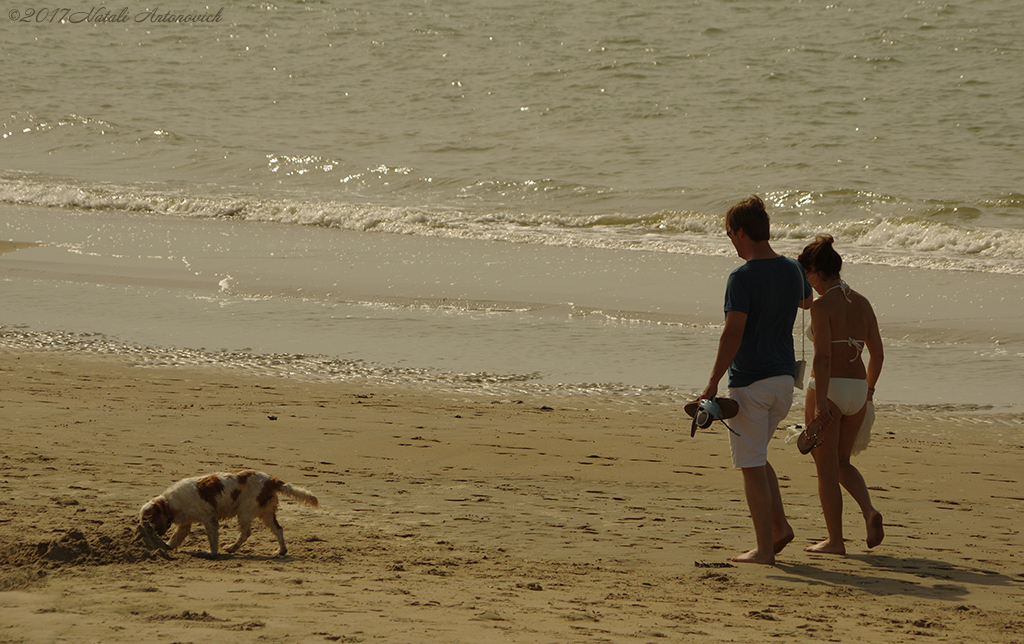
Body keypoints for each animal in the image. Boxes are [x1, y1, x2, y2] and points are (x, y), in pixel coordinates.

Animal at [138, 468, 317, 556]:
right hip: (265, 513)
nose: (152, 533)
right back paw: (281, 551)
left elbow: (213, 539)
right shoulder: (185, 524)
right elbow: (175, 539)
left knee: (246, 533)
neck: (171, 502)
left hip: (245, 511)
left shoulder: (209, 519)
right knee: (278, 530)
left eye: (149, 520)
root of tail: (270, 479)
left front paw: (211, 553)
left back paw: (231, 548)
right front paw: (164, 547)